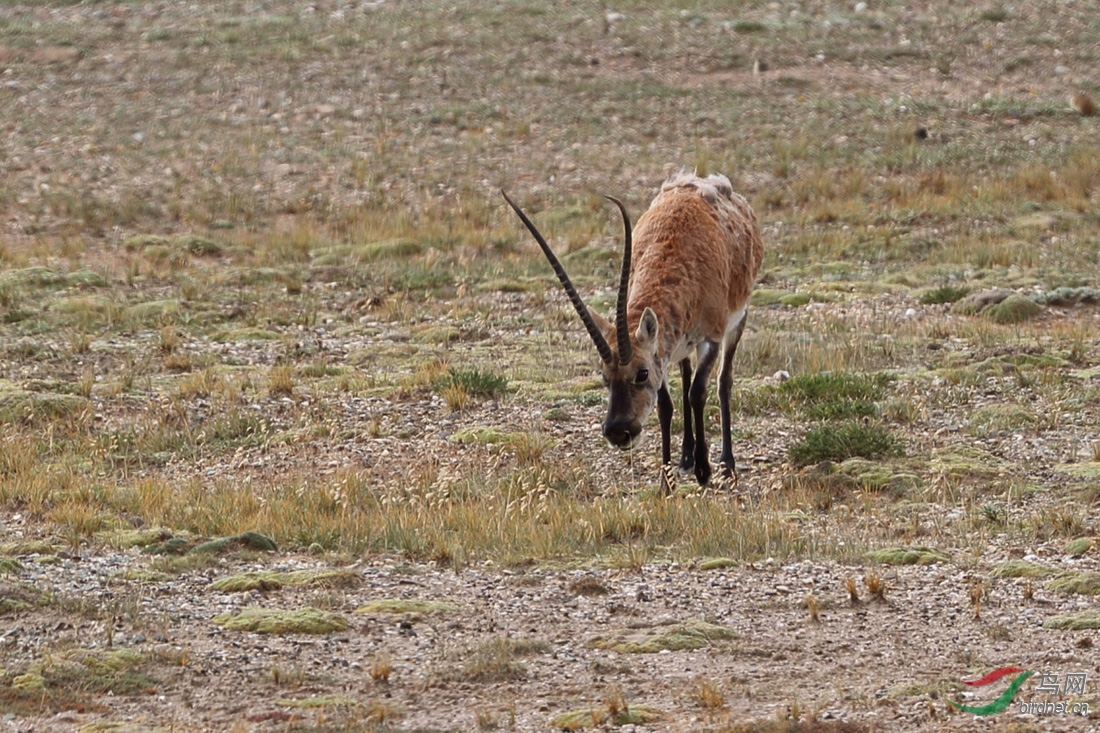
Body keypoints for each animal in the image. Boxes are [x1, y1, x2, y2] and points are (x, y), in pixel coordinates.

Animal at [503, 171, 761, 488]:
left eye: (641, 373)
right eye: (604, 376)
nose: (618, 432)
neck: (677, 254)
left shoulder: (710, 337)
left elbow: (698, 392)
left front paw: (704, 470)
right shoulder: (661, 352)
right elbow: (665, 406)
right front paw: (667, 481)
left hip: (737, 321)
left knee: (724, 381)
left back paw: (726, 463)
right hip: (681, 346)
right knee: (686, 373)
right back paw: (686, 457)